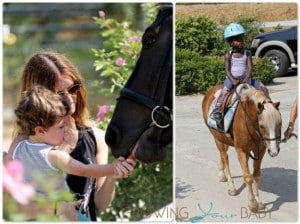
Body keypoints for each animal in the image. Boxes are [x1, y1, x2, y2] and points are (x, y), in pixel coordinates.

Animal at [202, 84, 282, 212]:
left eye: (279, 123)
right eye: (262, 126)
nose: (274, 151)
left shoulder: (260, 150)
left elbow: (256, 175)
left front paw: (259, 202)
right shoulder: (241, 150)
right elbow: (248, 177)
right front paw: (252, 204)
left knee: (223, 156)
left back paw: (221, 175)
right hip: (217, 138)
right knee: (225, 158)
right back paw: (231, 187)